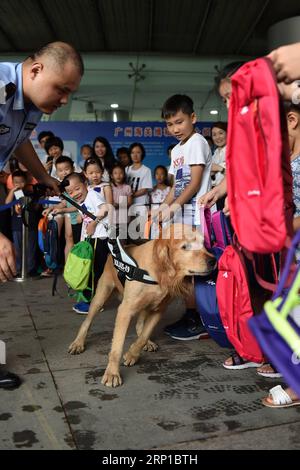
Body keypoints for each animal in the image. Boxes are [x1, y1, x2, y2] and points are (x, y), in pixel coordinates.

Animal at [68, 226, 216, 388]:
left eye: (203, 243)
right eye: (185, 247)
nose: (213, 260)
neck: (156, 272)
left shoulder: (159, 310)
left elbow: (144, 335)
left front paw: (133, 353)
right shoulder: (125, 310)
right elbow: (117, 347)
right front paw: (112, 373)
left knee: (140, 325)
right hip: (102, 294)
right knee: (87, 322)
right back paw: (78, 343)